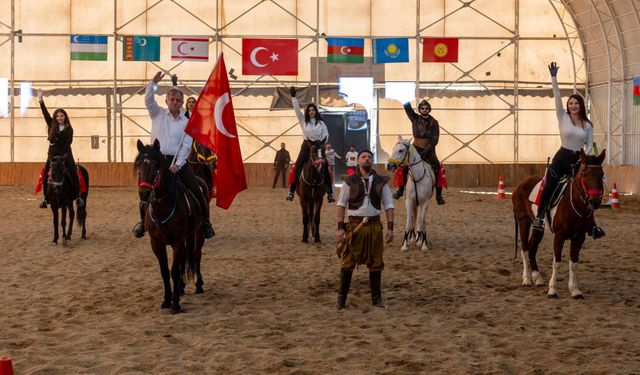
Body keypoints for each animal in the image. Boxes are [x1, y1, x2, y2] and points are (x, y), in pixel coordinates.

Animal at [135, 140, 208, 312]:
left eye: (156, 166)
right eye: (139, 164)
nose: (144, 193)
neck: (163, 207)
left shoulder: (178, 241)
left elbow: (174, 271)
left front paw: (175, 304)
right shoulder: (156, 243)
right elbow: (165, 271)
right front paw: (167, 300)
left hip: (199, 233)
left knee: (196, 255)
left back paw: (198, 285)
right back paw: (181, 288)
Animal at [512, 150, 608, 300]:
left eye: (601, 174)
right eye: (584, 174)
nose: (595, 201)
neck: (573, 203)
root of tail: (521, 183)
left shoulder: (579, 238)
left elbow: (573, 263)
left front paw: (575, 290)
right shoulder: (559, 236)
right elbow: (556, 262)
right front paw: (552, 290)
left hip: (538, 228)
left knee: (532, 249)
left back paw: (537, 278)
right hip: (524, 222)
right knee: (525, 248)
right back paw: (527, 279)